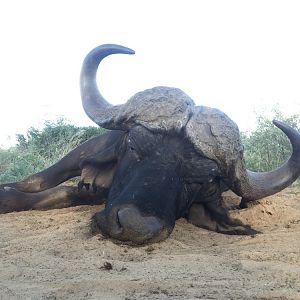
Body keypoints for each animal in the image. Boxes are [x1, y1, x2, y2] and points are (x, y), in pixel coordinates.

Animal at [0, 44, 300, 245]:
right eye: (134, 146)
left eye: (198, 180)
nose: (135, 227)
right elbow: (36, 185)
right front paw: (7, 192)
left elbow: (63, 194)